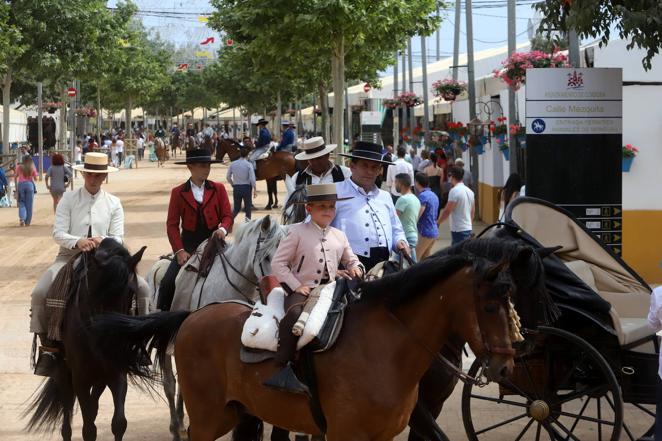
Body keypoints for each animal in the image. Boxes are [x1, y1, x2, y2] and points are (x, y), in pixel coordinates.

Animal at [25, 239, 147, 440]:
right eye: (99, 292)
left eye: (131, 292)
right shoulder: (80, 378)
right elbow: (88, 429)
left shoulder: (117, 372)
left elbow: (119, 423)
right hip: (63, 373)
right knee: (67, 413)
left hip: (99, 376)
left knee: (93, 403)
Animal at [91, 251, 520, 440]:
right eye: (491, 305)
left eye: (512, 304)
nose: (505, 367)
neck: (387, 347)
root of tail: (193, 317)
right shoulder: (347, 436)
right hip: (210, 419)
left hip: (238, 414)